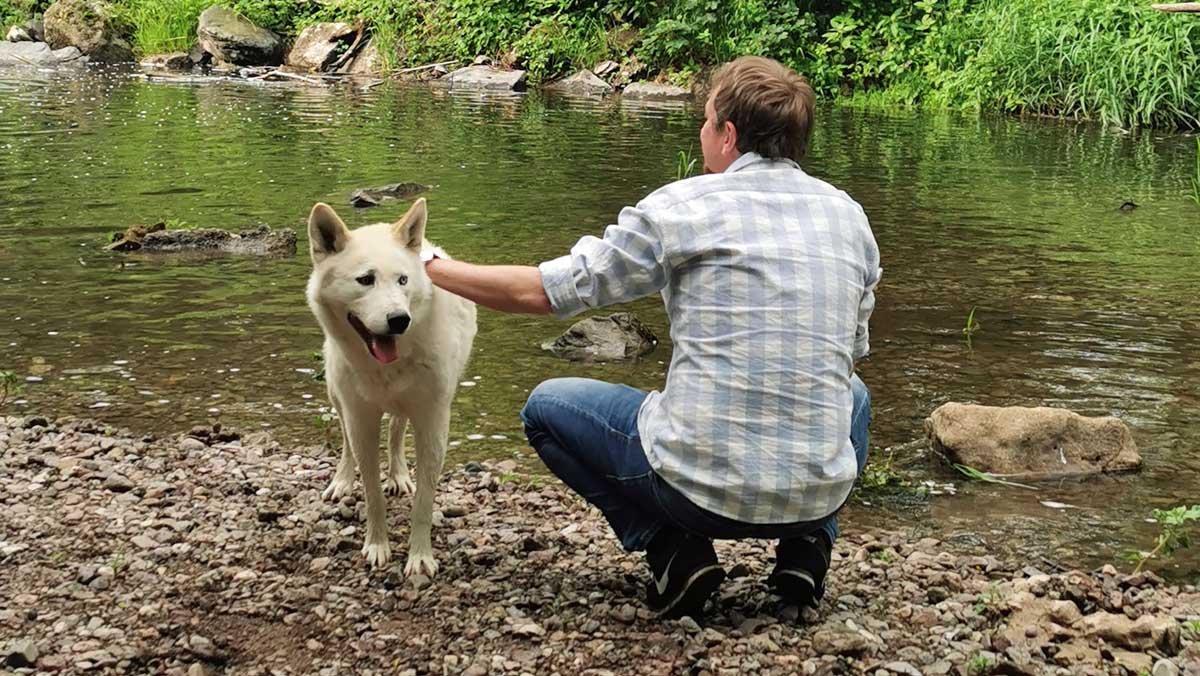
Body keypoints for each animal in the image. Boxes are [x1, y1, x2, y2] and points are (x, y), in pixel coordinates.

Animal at [302, 198, 475, 573]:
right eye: (366, 280)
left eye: (402, 280)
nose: (399, 320)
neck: (387, 368)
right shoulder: (361, 420)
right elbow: (372, 493)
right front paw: (377, 546)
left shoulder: (433, 422)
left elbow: (424, 500)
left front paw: (420, 557)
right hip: (337, 397)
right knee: (346, 443)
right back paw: (341, 481)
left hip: (408, 406)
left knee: (396, 429)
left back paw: (398, 475)